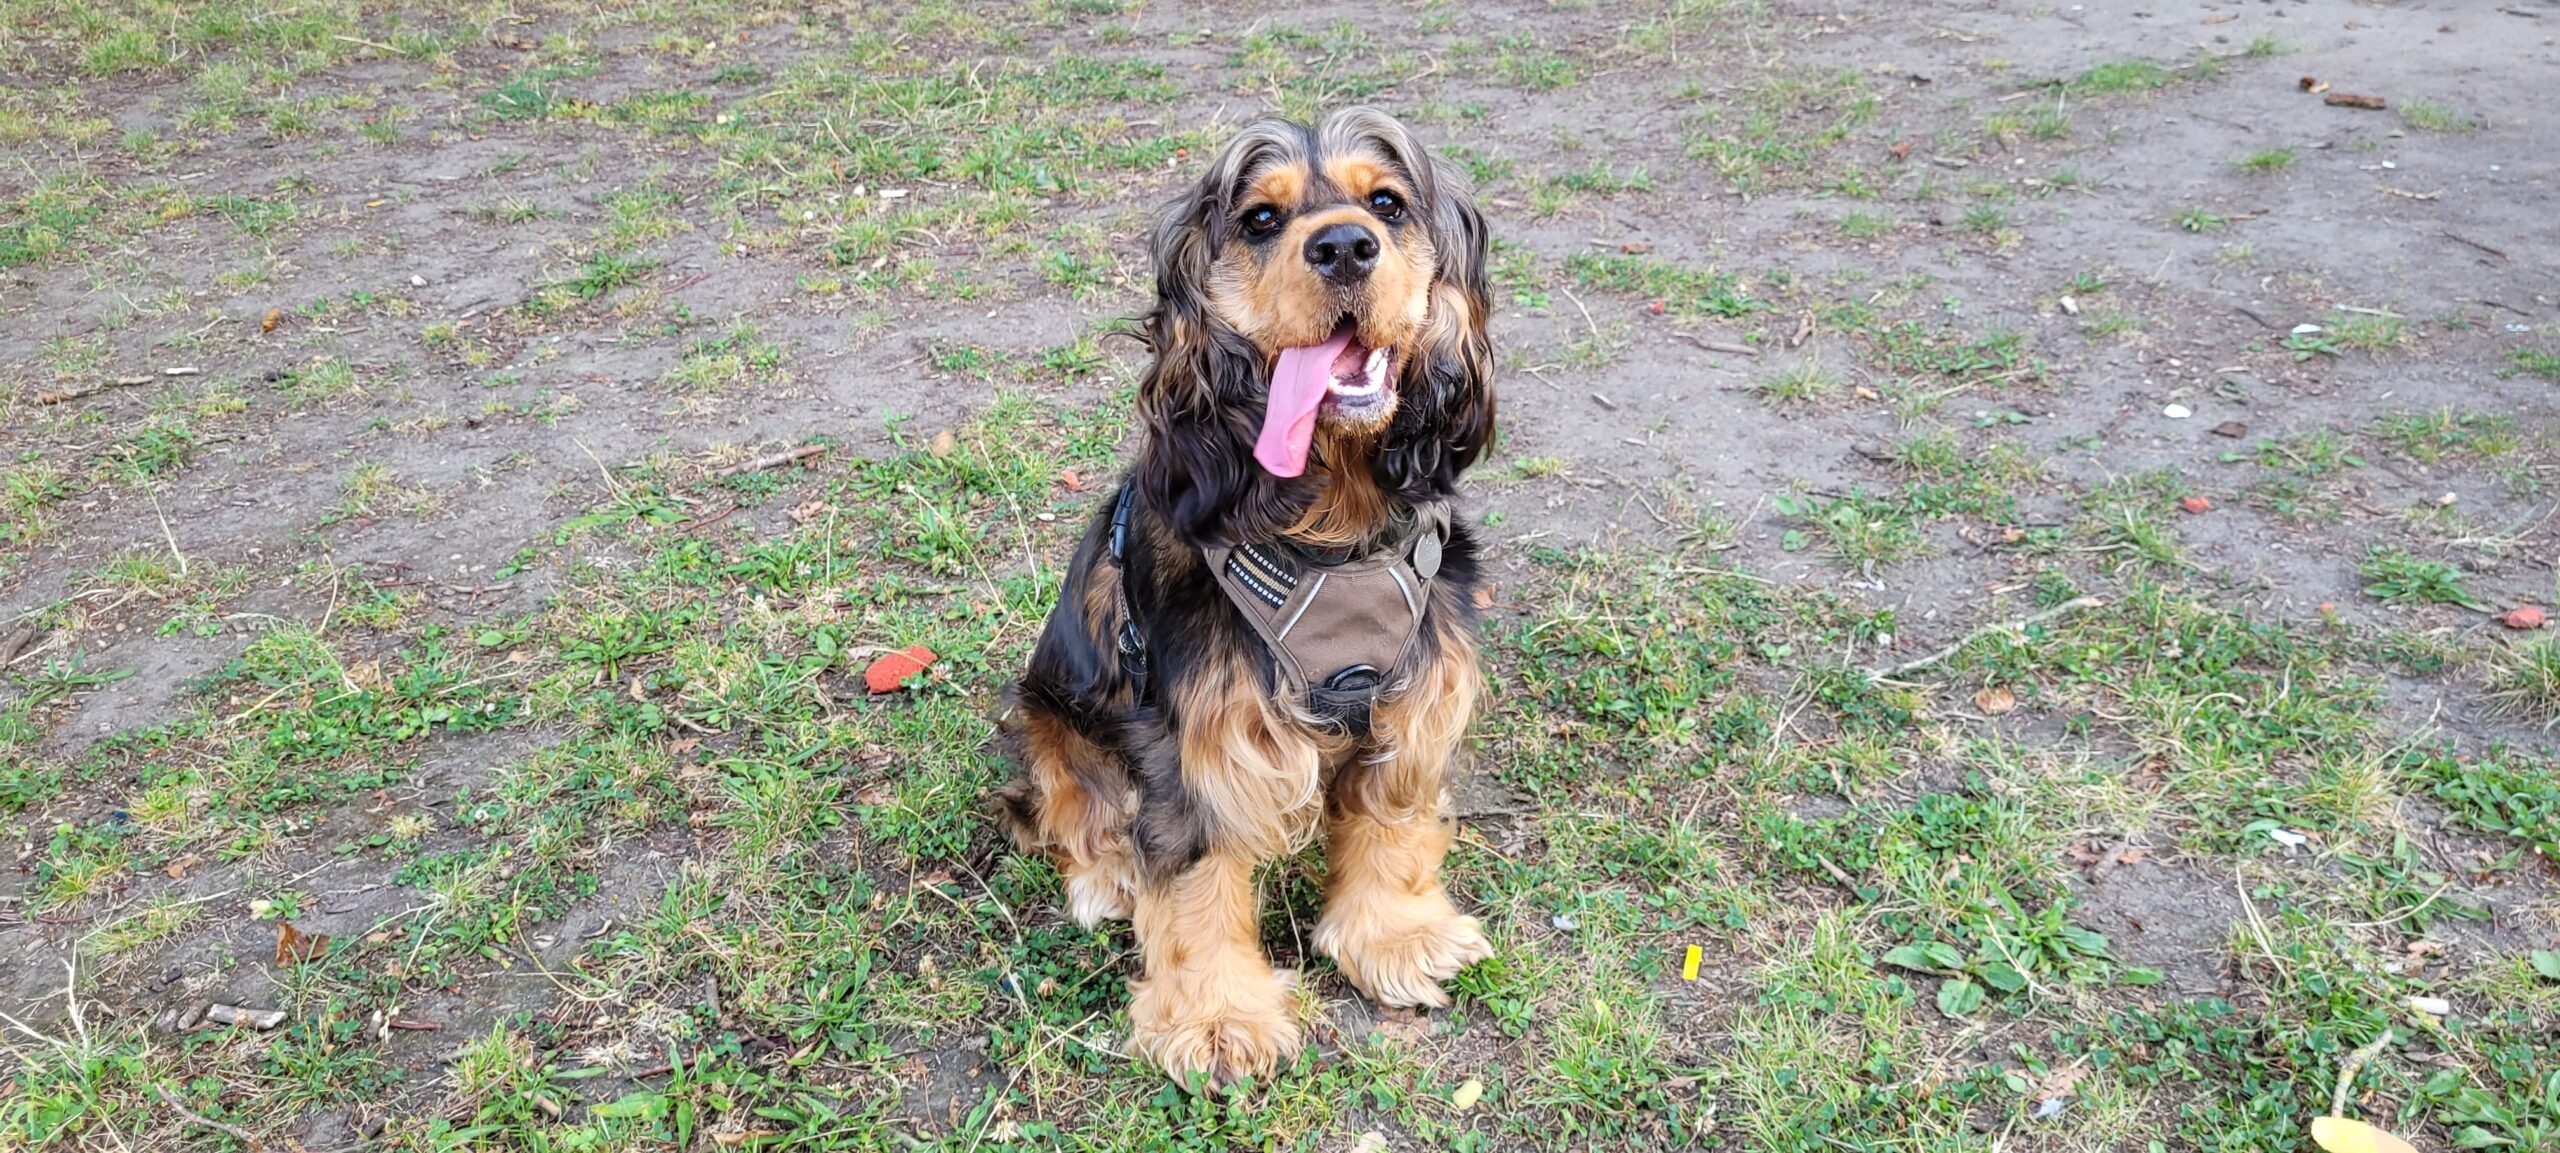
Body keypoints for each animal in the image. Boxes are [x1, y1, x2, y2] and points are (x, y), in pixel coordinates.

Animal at [983, 105, 1495, 1081]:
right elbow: (1194, 872)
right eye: (1260, 219)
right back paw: (1106, 873)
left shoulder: (1414, 690)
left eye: (1387, 203)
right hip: (1043, 710)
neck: (1331, 516)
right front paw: (1217, 1017)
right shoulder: (1195, 734)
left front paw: (1395, 935)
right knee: (1068, 809)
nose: (1344, 246)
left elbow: (1394, 817)